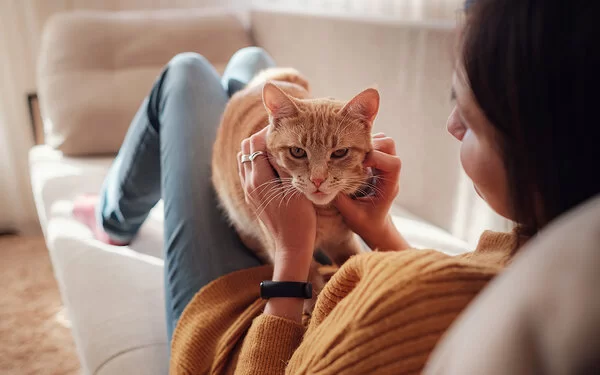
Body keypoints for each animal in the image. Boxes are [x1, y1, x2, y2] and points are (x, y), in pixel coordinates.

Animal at [213, 68, 378, 290]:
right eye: (297, 152)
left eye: (340, 152)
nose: (318, 179)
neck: (325, 215)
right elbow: (314, 285)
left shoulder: (344, 242)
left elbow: (355, 262)